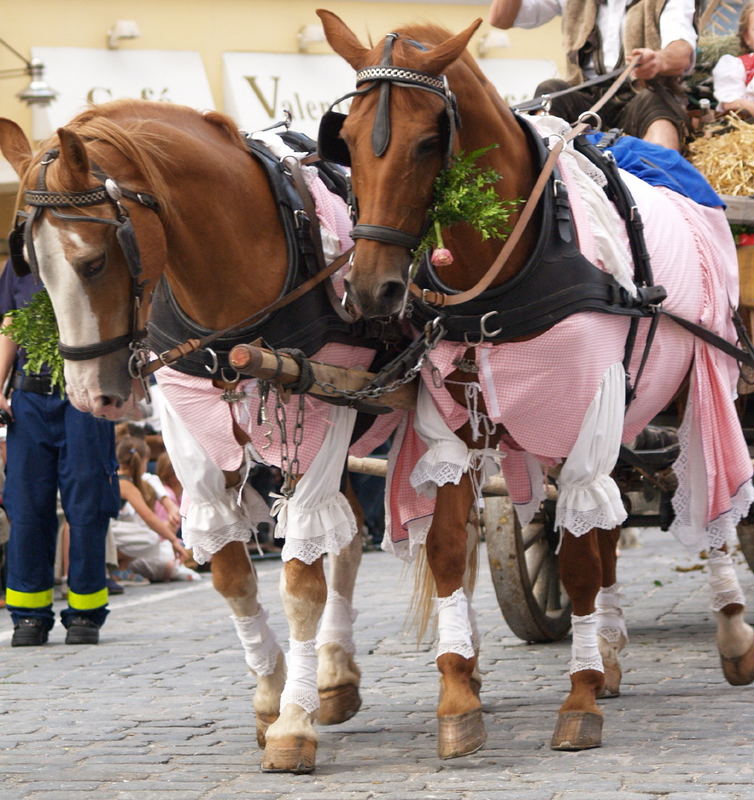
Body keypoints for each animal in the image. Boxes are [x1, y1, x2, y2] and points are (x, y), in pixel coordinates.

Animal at [0, 97, 400, 772]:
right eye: (34, 271)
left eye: (93, 261)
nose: (87, 396)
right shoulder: (194, 444)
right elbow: (233, 574)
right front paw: (271, 697)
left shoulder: (316, 427)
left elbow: (301, 579)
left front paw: (294, 723)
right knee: (349, 541)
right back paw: (335, 676)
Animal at [318, 6, 752, 756]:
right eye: (342, 140)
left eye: (430, 141)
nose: (372, 289)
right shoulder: (454, 421)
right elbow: (456, 545)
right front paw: (460, 699)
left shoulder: (590, 404)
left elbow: (577, 560)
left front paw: (577, 702)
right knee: (609, 522)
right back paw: (608, 650)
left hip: (708, 384)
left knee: (716, 507)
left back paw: (728, 630)